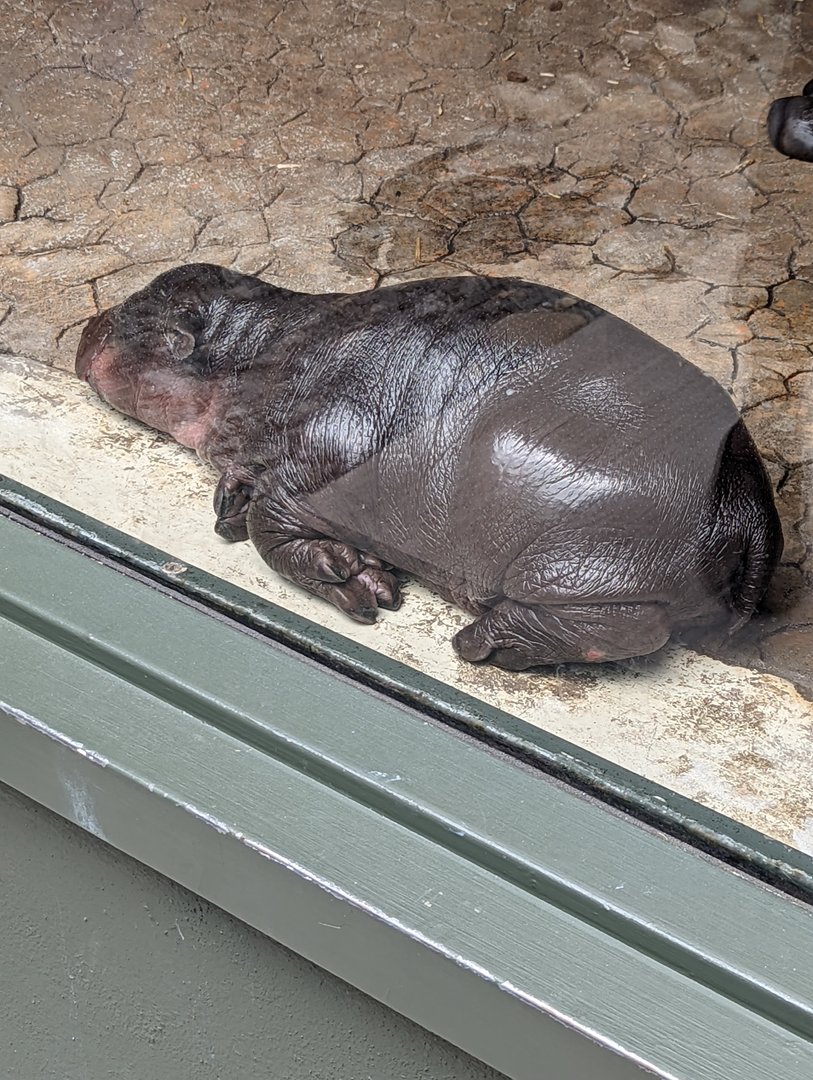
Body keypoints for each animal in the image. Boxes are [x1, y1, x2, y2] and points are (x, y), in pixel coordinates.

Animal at [75, 264, 782, 670]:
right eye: (156, 287)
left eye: (139, 316)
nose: (87, 324)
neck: (260, 349)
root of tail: (748, 511)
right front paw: (234, 501)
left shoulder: (331, 450)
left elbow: (271, 524)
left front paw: (354, 579)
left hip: (581, 569)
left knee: (625, 627)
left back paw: (482, 643)